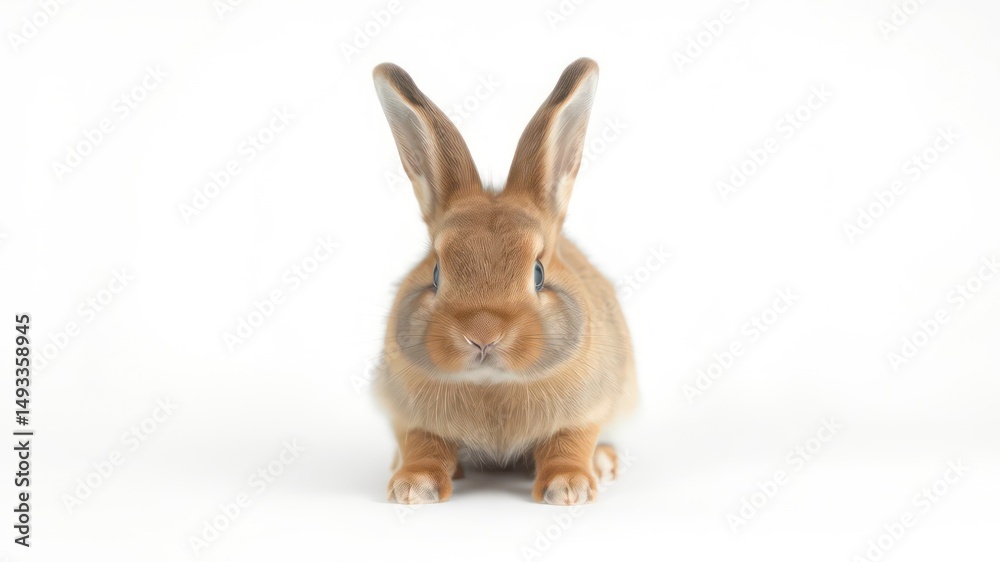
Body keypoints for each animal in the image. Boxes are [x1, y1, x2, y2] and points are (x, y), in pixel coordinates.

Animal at [371, 58, 636, 505]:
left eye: (538, 273)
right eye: (436, 272)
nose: (482, 334)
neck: (491, 385)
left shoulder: (585, 411)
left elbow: (571, 442)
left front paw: (569, 487)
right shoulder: (410, 416)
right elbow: (422, 444)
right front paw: (413, 487)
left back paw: (604, 461)